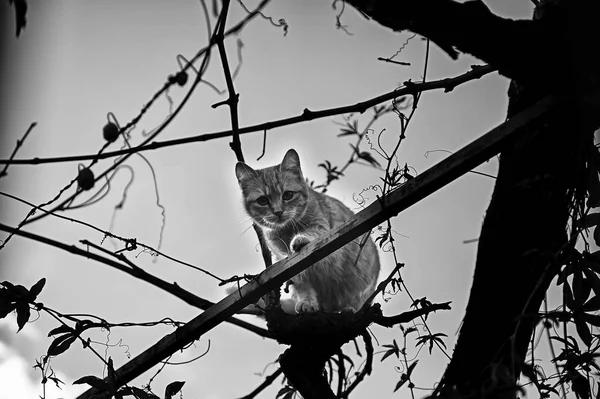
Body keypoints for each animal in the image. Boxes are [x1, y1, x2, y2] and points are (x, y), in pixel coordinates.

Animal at [234, 148, 380, 314]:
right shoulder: (290, 266)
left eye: (288, 195)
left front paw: (299, 240)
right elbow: (303, 287)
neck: (286, 230)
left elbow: (311, 234)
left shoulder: (321, 227)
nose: (278, 211)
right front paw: (307, 302)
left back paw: (349, 309)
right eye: (262, 201)